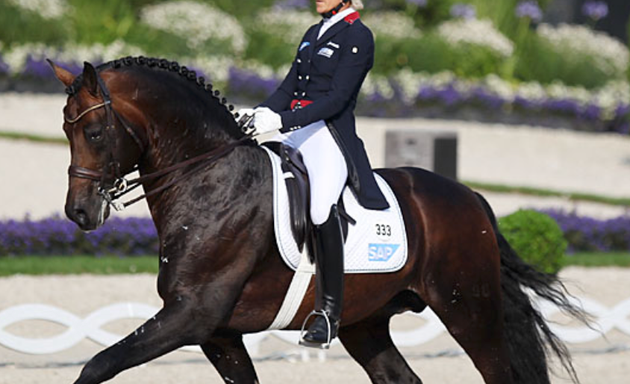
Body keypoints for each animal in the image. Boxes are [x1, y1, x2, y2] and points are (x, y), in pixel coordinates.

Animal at [49, 57, 588, 384]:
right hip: (367, 323)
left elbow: (97, 364)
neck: (209, 180)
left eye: (93, 132)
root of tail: (470, 197)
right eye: (66, 130)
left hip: (470, 312)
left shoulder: (190, 317)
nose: (80, 212)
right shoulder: (218, 333)